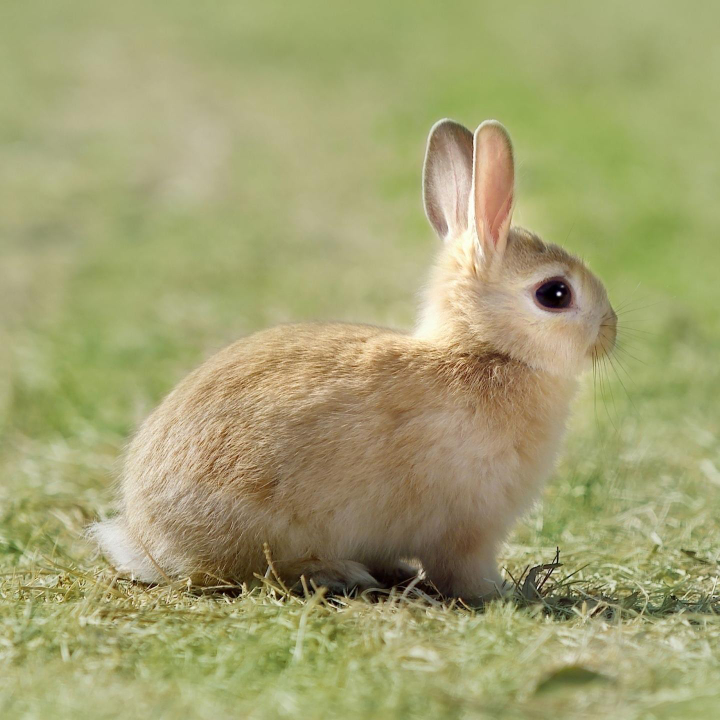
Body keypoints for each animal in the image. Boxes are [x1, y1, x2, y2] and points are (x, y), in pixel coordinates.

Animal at [90, 119, 620, 600]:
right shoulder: (466, 531)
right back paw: (341, 573)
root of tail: (143, 538)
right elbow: (462, 572)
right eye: (555, 293)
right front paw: (504, 593)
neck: (485, 351)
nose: (611, 329)